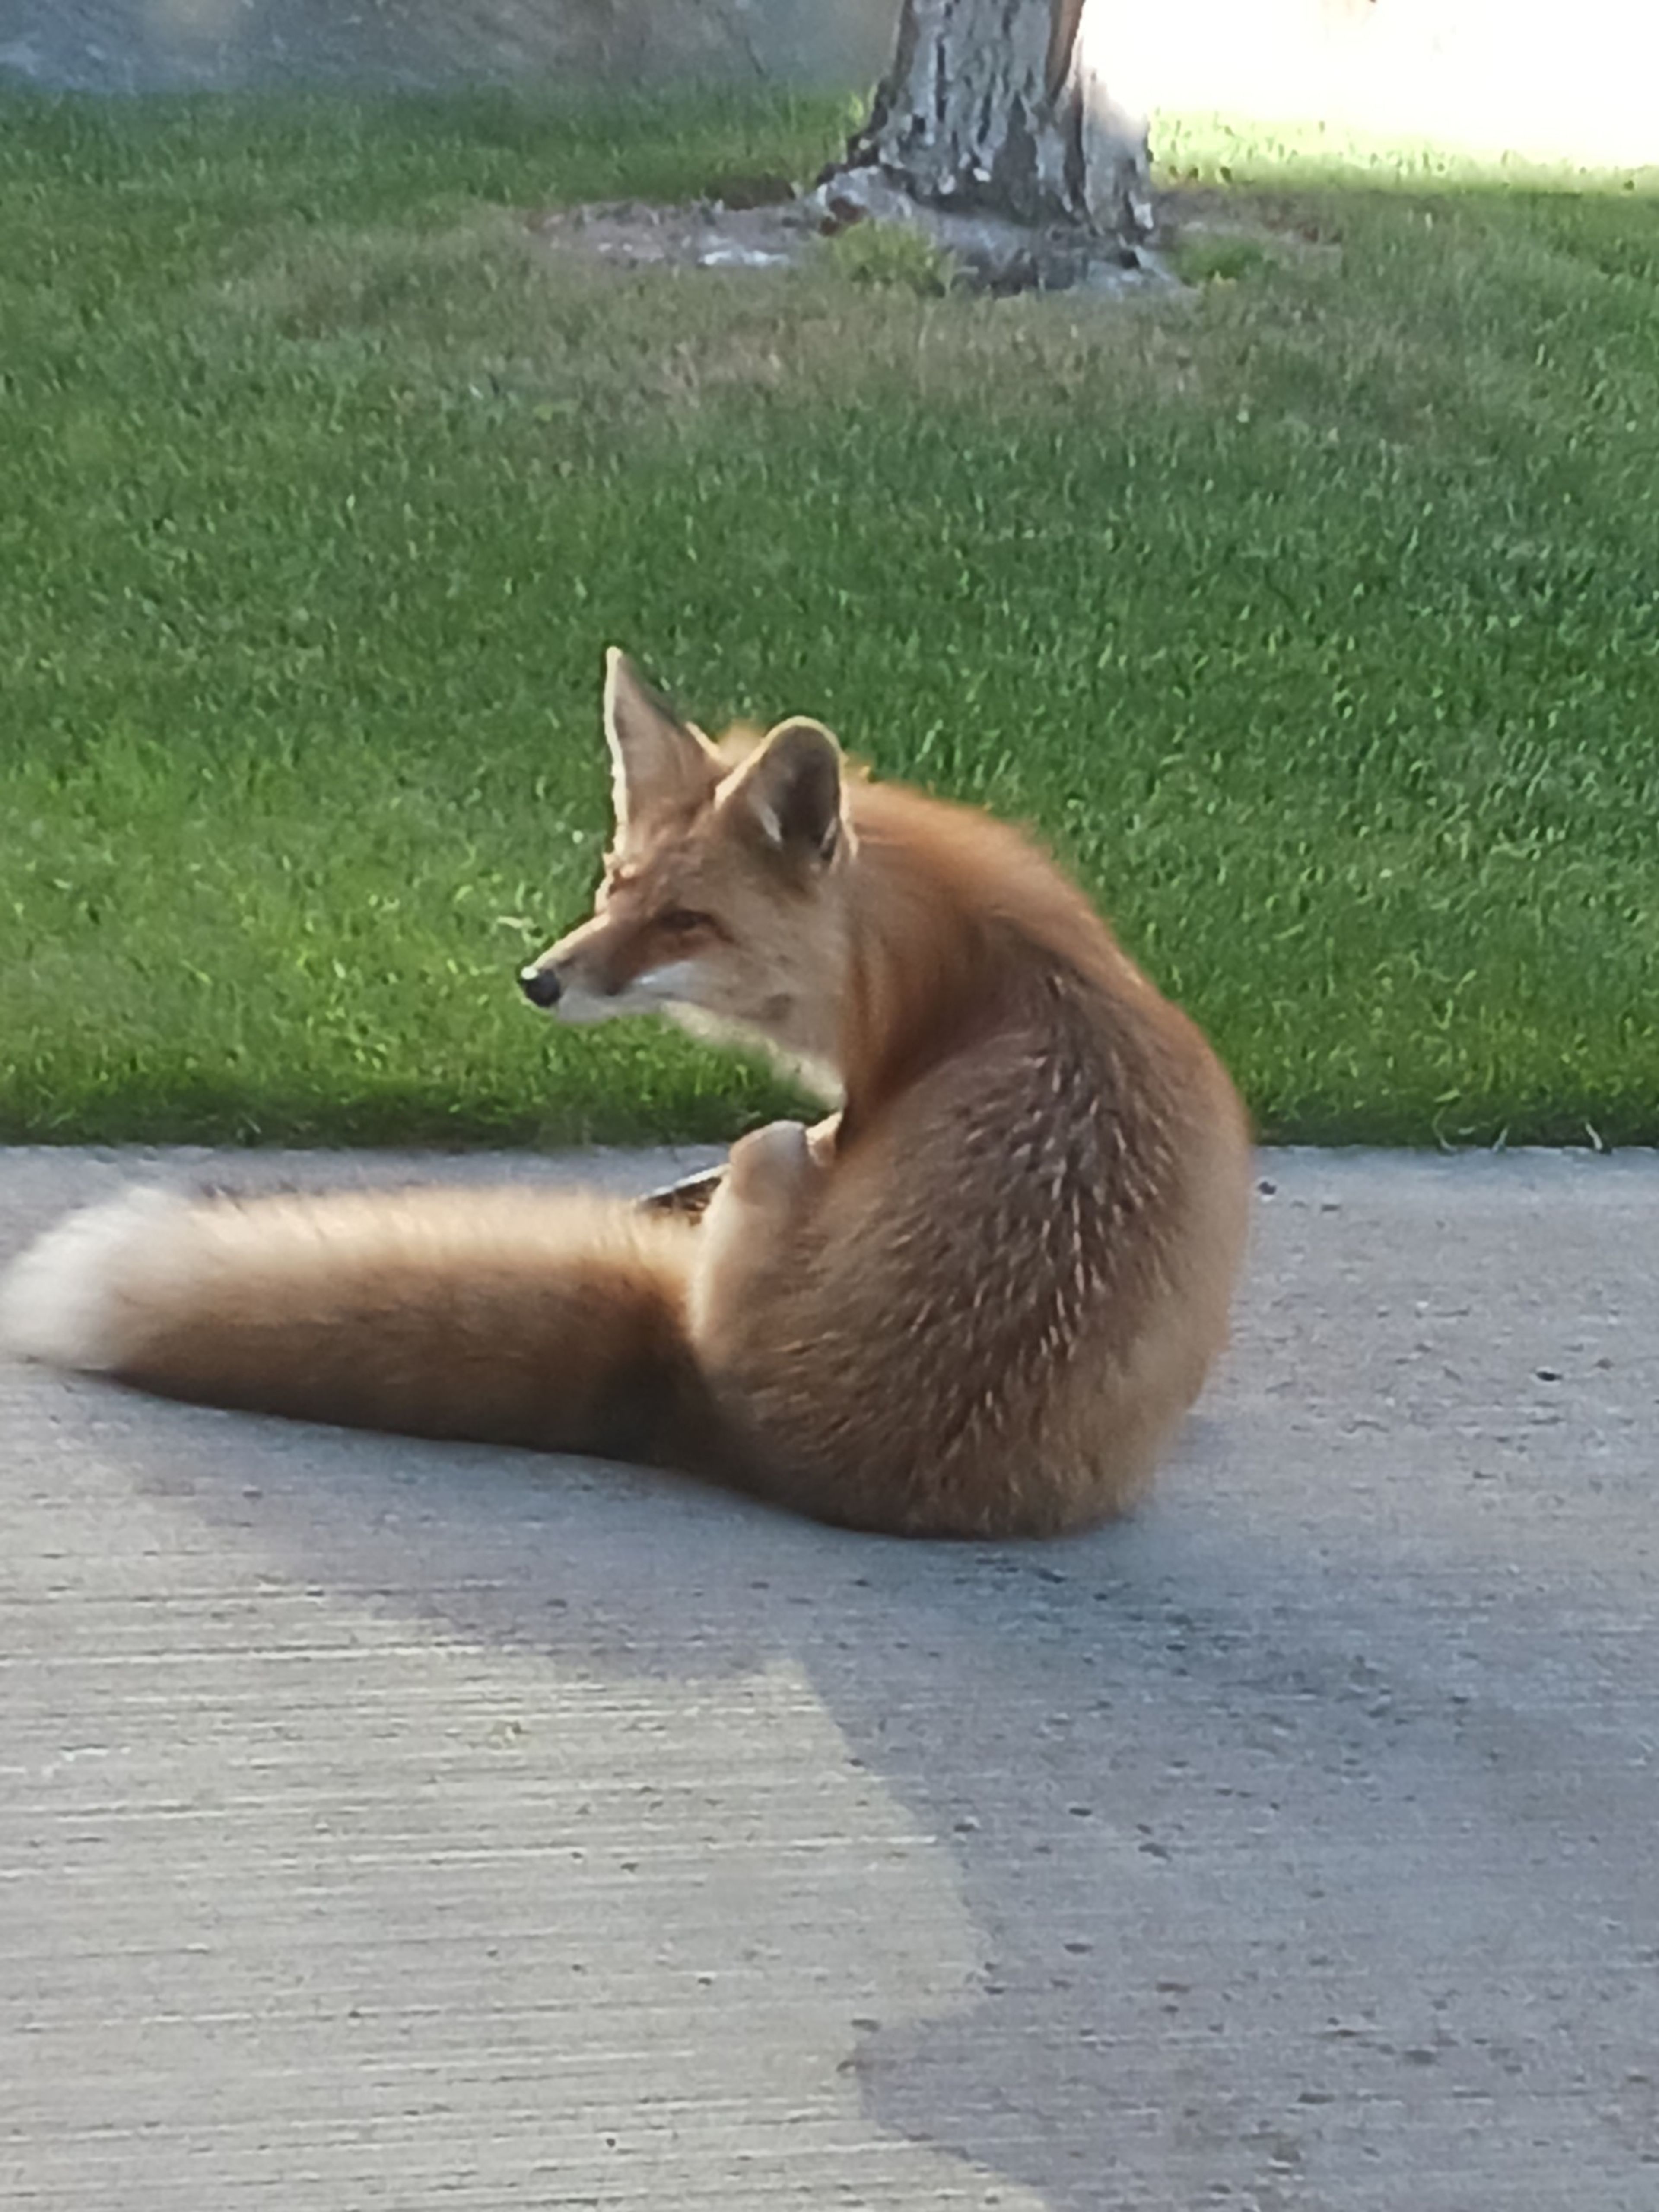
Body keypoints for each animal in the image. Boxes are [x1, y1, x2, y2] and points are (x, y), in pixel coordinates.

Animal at [0, 646, 1256, 1531]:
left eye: (686, 922)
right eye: (612, 881)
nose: (539, 983)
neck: (958, 963)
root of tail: (718, 1410)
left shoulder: (830, 1118)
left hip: (768, 1148)